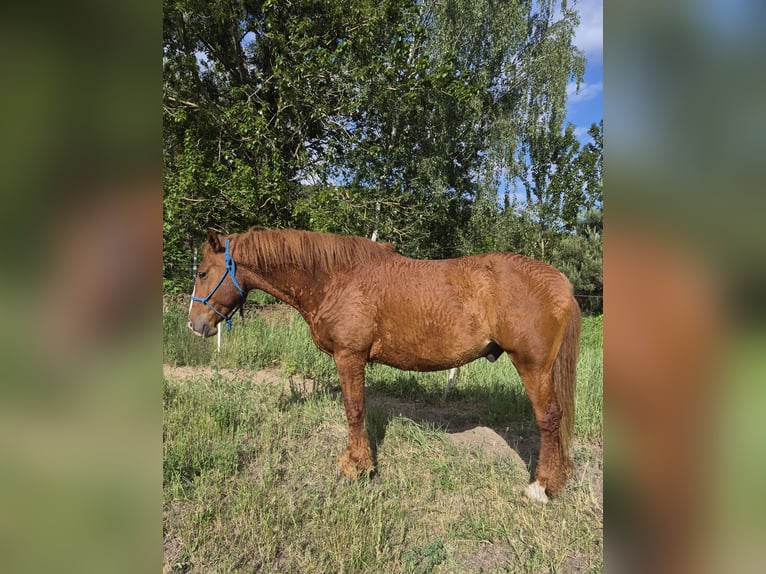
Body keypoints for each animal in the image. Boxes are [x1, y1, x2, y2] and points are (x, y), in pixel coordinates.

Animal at [188, 228, 580, 502]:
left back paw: (541, 487)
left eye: (204, 273)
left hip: (532, 365)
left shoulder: (350, 356)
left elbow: (354, 410)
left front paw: (356, 467)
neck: (337, 278)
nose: (195, 325)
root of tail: (560, 282)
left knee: (549, 419)